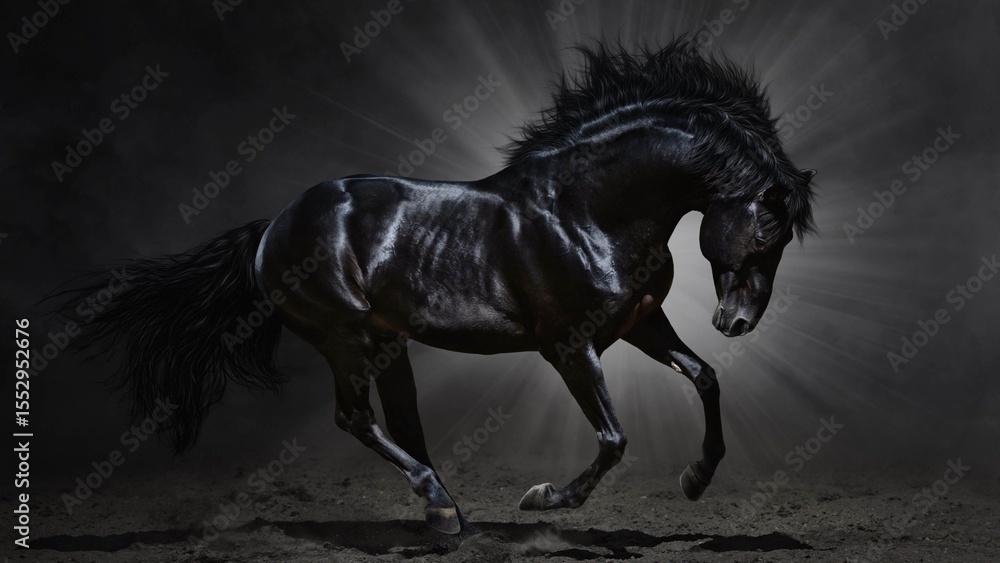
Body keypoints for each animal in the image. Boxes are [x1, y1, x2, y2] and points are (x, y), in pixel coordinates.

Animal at [62, 39, 815, 535]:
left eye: (781, 242)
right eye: (763, 233)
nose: (737, 322)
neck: (587, 210)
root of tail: (272, 226)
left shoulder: (639, 323)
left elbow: (705, 377)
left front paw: (696, 478)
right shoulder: (569, 347)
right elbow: (612, 438)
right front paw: (542, 498)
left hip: (386, 343)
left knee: (401, 422)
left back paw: (446, 512)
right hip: (344, 337)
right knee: (356, 419)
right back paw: (441, 506)